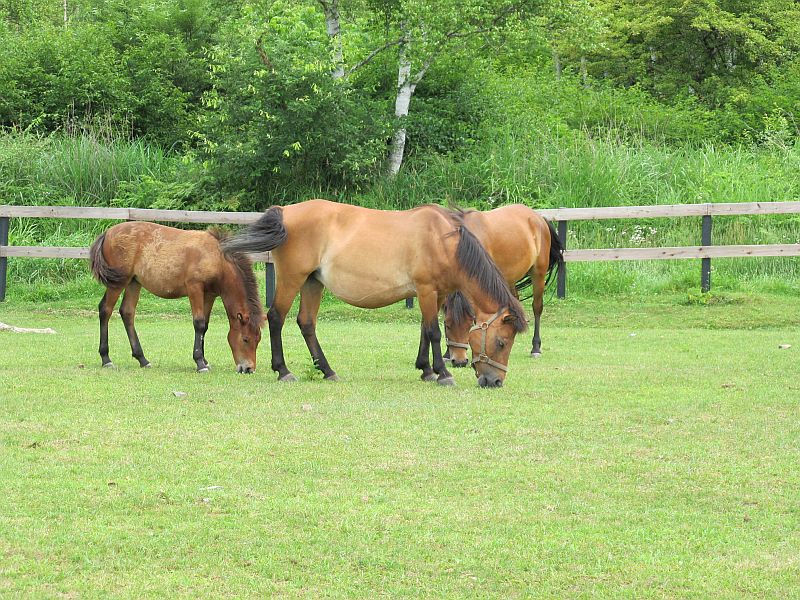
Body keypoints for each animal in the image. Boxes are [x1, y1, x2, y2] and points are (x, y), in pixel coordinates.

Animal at [88, 223, 264, 372]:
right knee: (105, 310)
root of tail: (108, 232)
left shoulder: (209, 295)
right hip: (118, 282)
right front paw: (200, 363)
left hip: (133, 282)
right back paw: (106, 358)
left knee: (127, 312)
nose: (249, 369)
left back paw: (142, 359)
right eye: (245, 339)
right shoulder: (195, 288)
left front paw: (204, 360)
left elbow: (205, 326)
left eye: (258, 340)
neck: (216, 258)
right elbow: (199, 323)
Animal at [222, 200, 528, 390]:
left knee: (307, 323)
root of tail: (285, 211)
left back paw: (327, 371)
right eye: (501, 342)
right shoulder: (427, 289)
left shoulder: (436, 293)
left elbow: (425, 329)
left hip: (312, 282)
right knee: (276, 318)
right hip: (292, 278)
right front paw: (443, 373)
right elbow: (433, 332)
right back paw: (283, 370)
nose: (495, 382)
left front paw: (426, 370)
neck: (443, 240)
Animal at [444, 205, 564, 366]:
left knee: (537, 307)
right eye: (447, 325)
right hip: (510, 279)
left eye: (469, 324)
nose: (459, 362)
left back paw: (536, 348)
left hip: (538, 274)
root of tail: (539, 218)